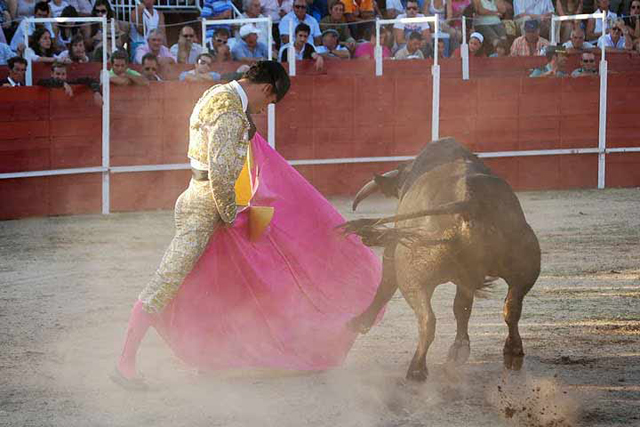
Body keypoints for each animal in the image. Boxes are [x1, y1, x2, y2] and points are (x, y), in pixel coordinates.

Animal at [340, 137, 540, 382]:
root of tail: (468, 202)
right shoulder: (466, 279)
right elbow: (462, 307)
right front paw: (460, 349)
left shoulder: (394, 251)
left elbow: (385, 285)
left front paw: (359, 323)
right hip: (524, 265)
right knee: (511, 307)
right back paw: (511, 351)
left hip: (412, 276)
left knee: (427, 319)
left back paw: (416, 369)